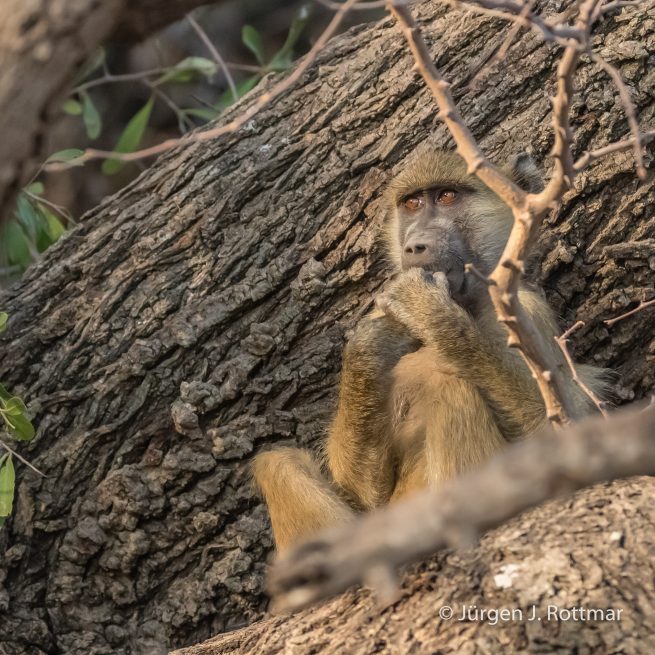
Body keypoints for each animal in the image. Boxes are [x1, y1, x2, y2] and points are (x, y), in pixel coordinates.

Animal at [252, 149, 607, 552]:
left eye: (448, 196)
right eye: (412, 204)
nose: (414, 246)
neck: (470, 303)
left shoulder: (529, 315)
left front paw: (430, 311)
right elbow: (362, 493)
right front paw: (373, 342)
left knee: (451, 386)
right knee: (276, 462)